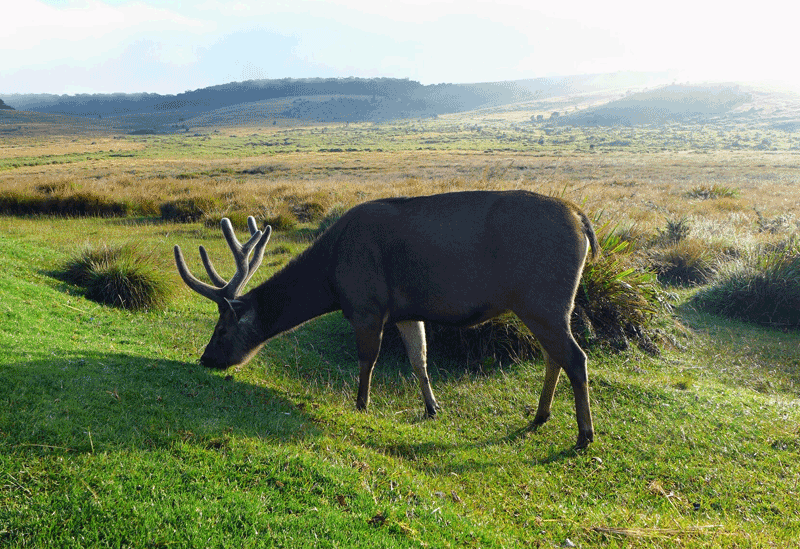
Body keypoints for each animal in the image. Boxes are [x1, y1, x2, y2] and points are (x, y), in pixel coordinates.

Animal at [175, 191, 600, 448]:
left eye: (221, 329)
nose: (206, 359)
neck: (331, 280)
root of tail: (583, 221)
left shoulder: (367, 305)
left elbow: (368, 360)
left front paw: (361, 404)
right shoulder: (407, 312)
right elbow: (419, 360)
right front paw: (432, 407)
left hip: (543, 297)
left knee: (575, 357)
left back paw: (583, 435)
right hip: (544, 304)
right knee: (553, 357)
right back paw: (541, 416)